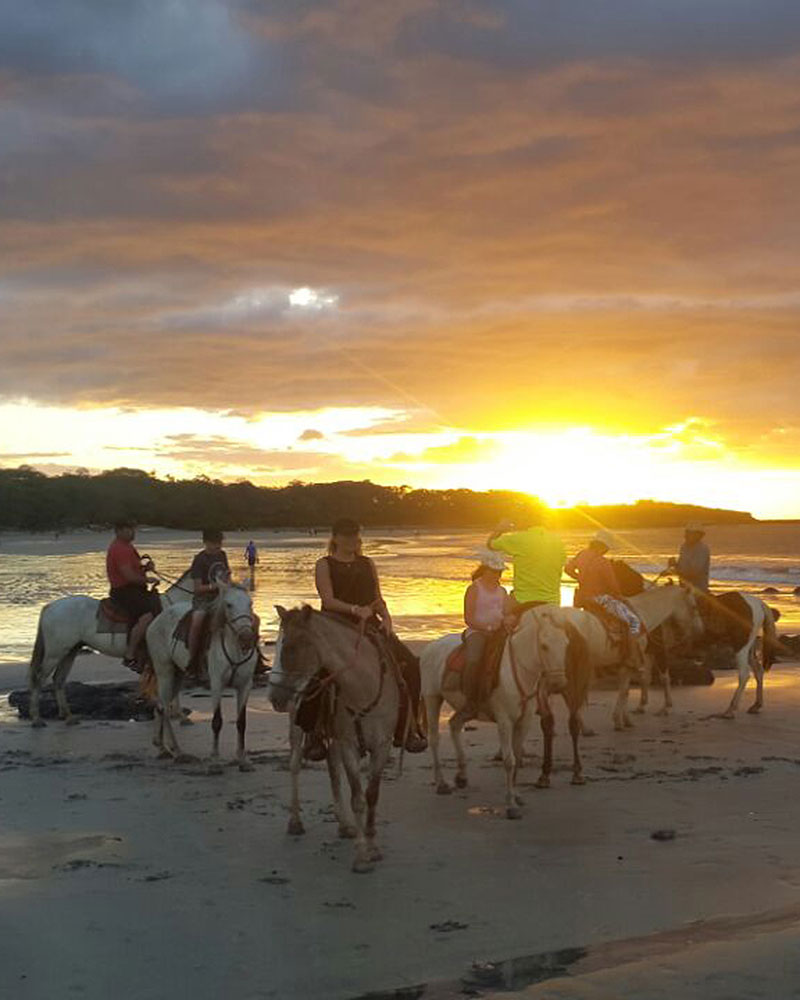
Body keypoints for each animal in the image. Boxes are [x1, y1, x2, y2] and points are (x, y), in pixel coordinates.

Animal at [27, 572, 193, 728]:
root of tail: (49, 607)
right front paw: (178, 715)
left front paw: (175, 714)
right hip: (54, 653)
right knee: (39, 678)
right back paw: (36, 719)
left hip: (70, 651)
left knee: (59, 679)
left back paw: (68, 717)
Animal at [144, 584, 256, 768]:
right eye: (228, 605)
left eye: (250, 603)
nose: (246, 638)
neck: (234, 649)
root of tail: (155, 621)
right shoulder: (217, 684)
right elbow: (217, 721)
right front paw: (215, 758)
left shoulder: (245, 685)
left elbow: (242, 722)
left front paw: (242, 758)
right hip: (165, 672)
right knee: (165, 709)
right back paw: (177, 750)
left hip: (178, 675)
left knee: (160, 706)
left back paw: (161, 746)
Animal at [422, 608, 592, 820]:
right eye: (544, 646)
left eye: (566, 644)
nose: (559, 683)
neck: (518, 670)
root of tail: (431, 646)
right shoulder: (505, 721)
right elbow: (509, 760)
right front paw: (511, 805)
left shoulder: (525, 720)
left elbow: (518, 756)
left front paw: (517, 796)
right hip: (432, 698)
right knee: (434, 738)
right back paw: (441, 783)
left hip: (465, 709)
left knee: (454, 725)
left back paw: (461, 776)